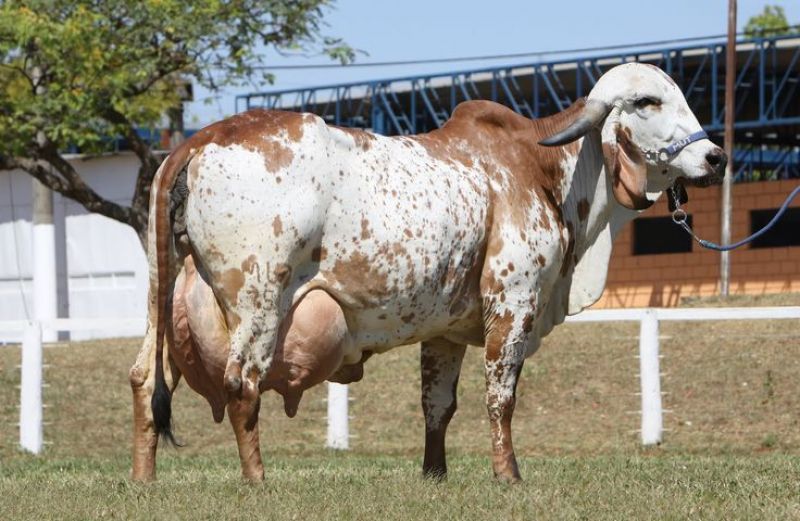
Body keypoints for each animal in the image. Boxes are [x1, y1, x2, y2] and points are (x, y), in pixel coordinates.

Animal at [129, 63, 725, 483]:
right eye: (647, 101)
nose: (716, 158)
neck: (541, 168)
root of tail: (200, 139)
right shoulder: (514, 302)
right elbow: (500, 397)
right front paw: (508, 475)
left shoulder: (446, 330)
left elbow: (438, 406)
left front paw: (434, 474)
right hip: (258, 303)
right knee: (241, 385)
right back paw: (257, 481)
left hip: (162, 294)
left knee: (145, 378)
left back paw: (144, 479)